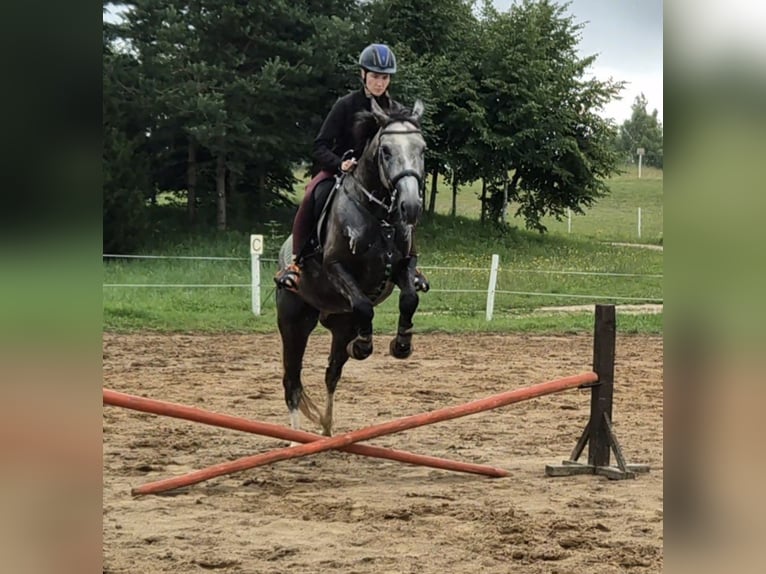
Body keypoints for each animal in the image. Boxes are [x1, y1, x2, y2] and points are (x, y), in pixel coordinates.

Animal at [276, 98, 428, 436]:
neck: (380, 215)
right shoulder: (336, 268)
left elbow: (409, 298)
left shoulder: (403, 265)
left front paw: (402, 344)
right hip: (294, 323)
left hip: (340, 324)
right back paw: (294, 439)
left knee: (331, 374)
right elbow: (363, 305)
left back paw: (327, 430)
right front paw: (364, 346)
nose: (411, 206)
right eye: (386, 151)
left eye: (422, 149)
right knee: (292, 381)